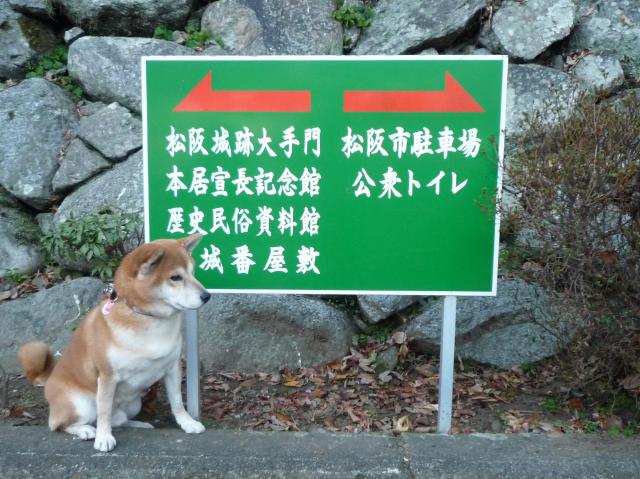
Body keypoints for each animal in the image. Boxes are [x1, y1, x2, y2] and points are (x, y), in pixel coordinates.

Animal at [18, 233, 211, 452]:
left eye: (193, 273)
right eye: (176, 277)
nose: (207, 296)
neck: (147, 319)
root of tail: (49, 379)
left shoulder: (172, 367)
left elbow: (177, 402)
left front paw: (187, 423)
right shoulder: (107, 376)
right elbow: (104, 412)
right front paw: (103, 438)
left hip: (134, 404)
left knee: (118, 419)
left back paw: (137, 424)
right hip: (82, 405)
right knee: (60, 424)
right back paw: (86, 431)